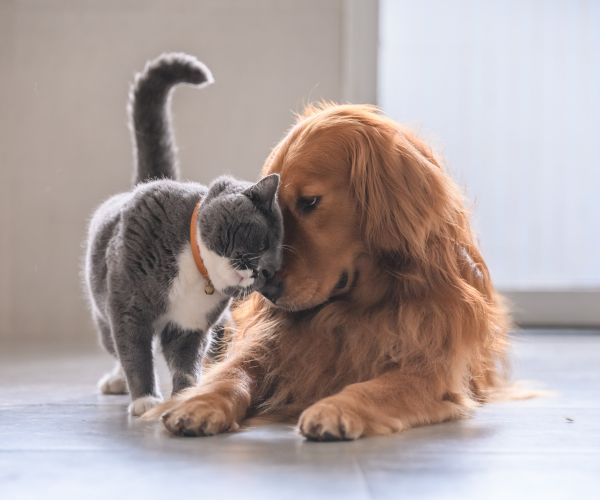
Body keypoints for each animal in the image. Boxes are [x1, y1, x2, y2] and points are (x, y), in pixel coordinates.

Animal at [82, 52, 286, 416]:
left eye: (270, 270)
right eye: (260, 241)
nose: (256, 271)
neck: (195, 268)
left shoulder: (190, 325)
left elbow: (185, 361)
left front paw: (186, 396)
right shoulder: (128, 307)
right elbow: (135, 353)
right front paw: (145, 399)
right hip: (102, 308)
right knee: (115, 346)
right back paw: (117, 381)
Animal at [151, 103, 510, 440]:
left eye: (310, 202)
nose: (265, 290)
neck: (354, 309)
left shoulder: (431, 369)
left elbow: (378, 387)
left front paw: (335, 408)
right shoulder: (267, 346)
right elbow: (232, 373)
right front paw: (198, 403)